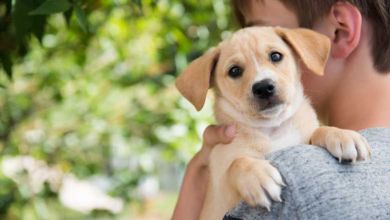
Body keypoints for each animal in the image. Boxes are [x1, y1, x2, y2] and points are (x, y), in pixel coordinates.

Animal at [175, 27, 370, 220]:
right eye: (234, 71)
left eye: (275, 56)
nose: (263, 87)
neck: (273, 128)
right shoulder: (220, 194)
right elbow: (237, 163)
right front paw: (256, 176)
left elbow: (318, 131)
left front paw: (341, 135)